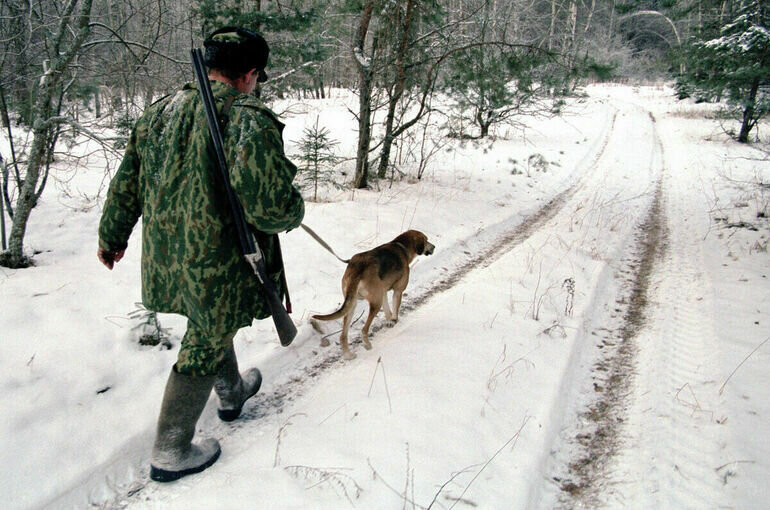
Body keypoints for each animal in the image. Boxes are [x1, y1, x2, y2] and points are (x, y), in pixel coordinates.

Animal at [310, 230, 432, 358]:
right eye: (426, 240)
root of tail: (358, 268)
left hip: (352, 304)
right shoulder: (398, 291)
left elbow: (387, 310)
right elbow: (395, 309)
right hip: (375, 304)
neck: (402, 246)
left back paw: (349, 355)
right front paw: (394, 320)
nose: (433, 247)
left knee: (343, 335)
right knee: (364, 330)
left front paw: (390, 321)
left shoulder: (382, 292)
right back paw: (367, 345)